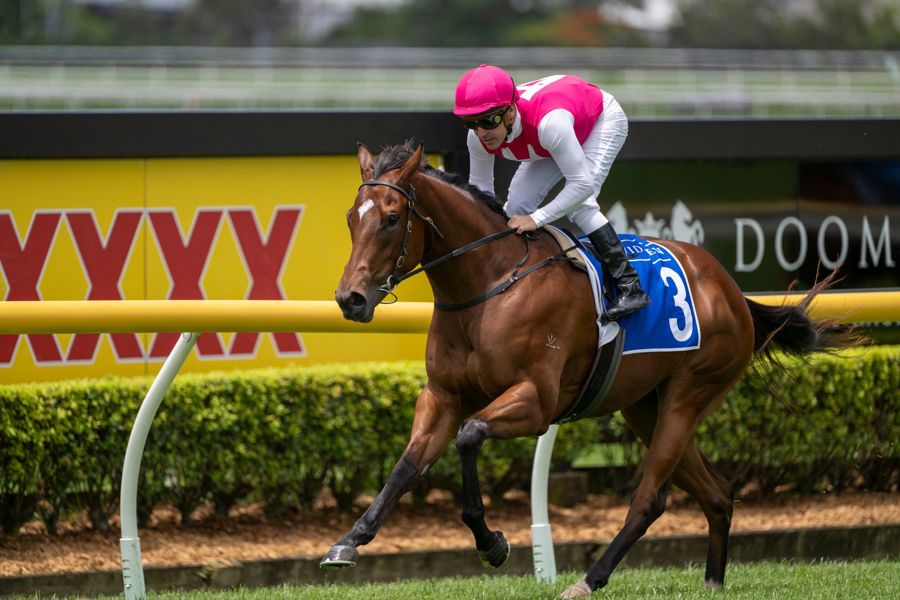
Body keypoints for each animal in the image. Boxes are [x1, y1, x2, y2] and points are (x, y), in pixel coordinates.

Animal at [323, 140, 856, 597]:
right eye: (350, 218)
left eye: (392, 218)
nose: (351, 299)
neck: (491, 283)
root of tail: (732, 290)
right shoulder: (442, 396)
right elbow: (407, 465)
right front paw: (348, 541)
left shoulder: (536, 402)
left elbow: (469, 435)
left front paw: (492, 542)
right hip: (645, 408)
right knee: (719, 492)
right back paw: (712, 581)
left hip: (690, 393)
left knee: (650, 498)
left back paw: (588, 579)